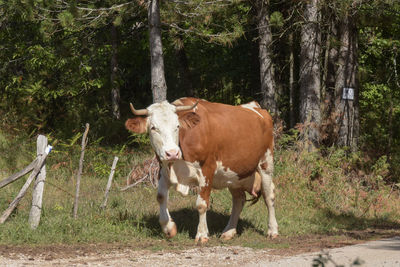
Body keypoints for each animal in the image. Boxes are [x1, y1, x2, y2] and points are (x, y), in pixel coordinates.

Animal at [126, 98, 278, 243]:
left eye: (177, 126)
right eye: (153, 128)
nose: (172, 153)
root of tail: (255, 106)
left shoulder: (207, 170)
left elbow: (201, 204)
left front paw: (202, 234)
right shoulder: (163, 171)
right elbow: (161, 197)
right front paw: (169, 228)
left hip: (266, 163)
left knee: (268, 195)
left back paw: (272, 230)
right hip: (234, 174)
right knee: (239, 200)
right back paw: (228, 231)